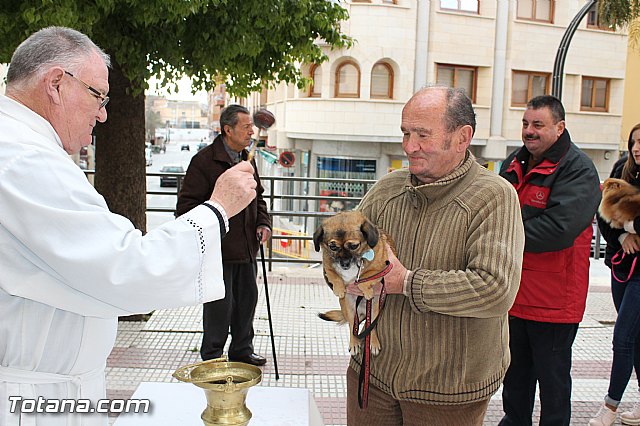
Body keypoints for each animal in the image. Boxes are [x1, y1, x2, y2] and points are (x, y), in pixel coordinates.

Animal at [314, 211, 396, 356]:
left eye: (354, 246)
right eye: (333, 247)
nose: (345, 264)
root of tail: (363, 312)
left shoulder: (382, 269)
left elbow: (365, 277)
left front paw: (366, 289)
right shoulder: (327, 264)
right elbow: (333, 274)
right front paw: (339, 288)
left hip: (374, 310)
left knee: (371, 328)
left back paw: (373, 343)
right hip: (350, 308)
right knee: (353, 326)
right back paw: (354, 343)